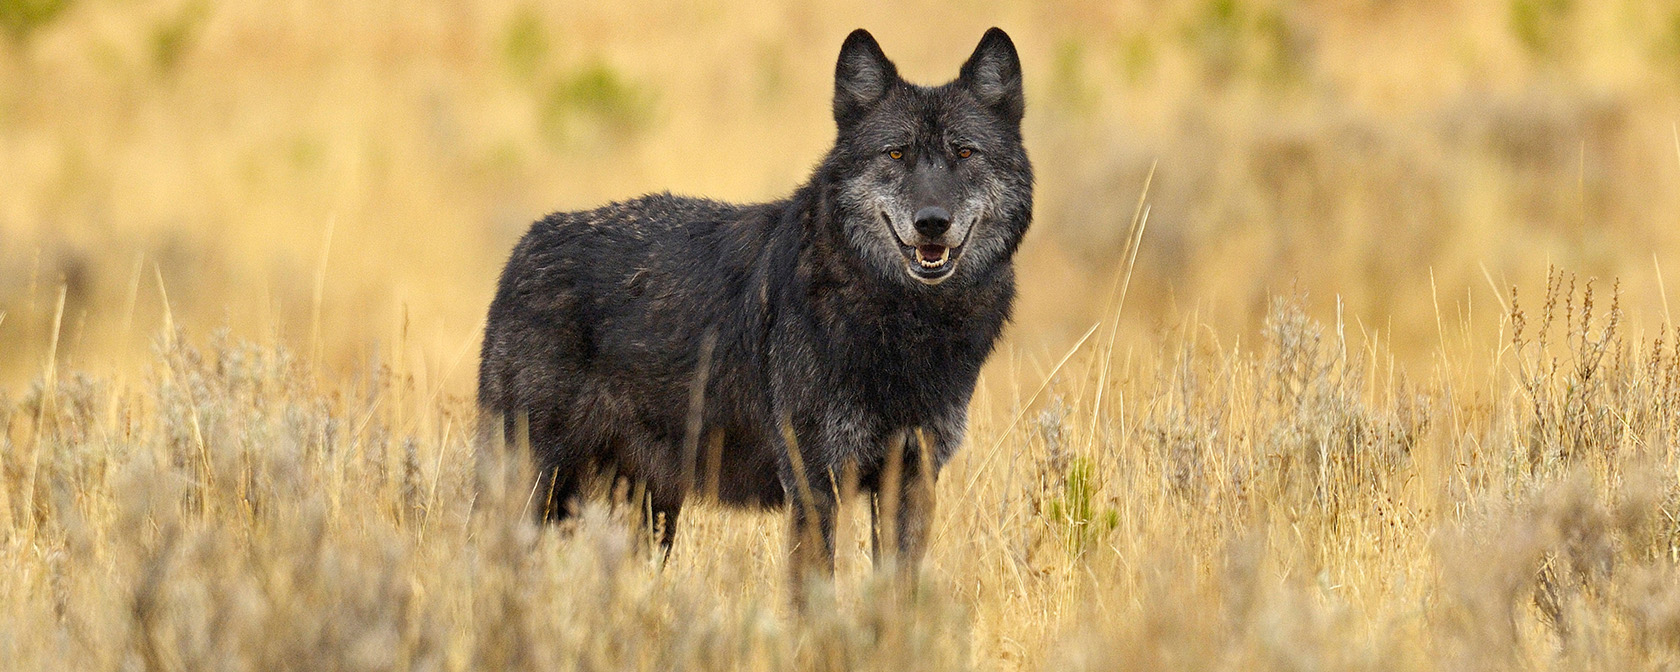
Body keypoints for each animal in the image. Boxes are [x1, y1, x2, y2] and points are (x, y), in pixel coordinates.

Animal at [477, 27, 1031, 585]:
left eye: (965, 153)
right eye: (896, 154)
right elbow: (814, 591)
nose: (932, 222)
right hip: (536, 486)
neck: (904, 325)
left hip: (648, 510)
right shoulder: (813, 479)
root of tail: (526, 244)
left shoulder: (913, 478)